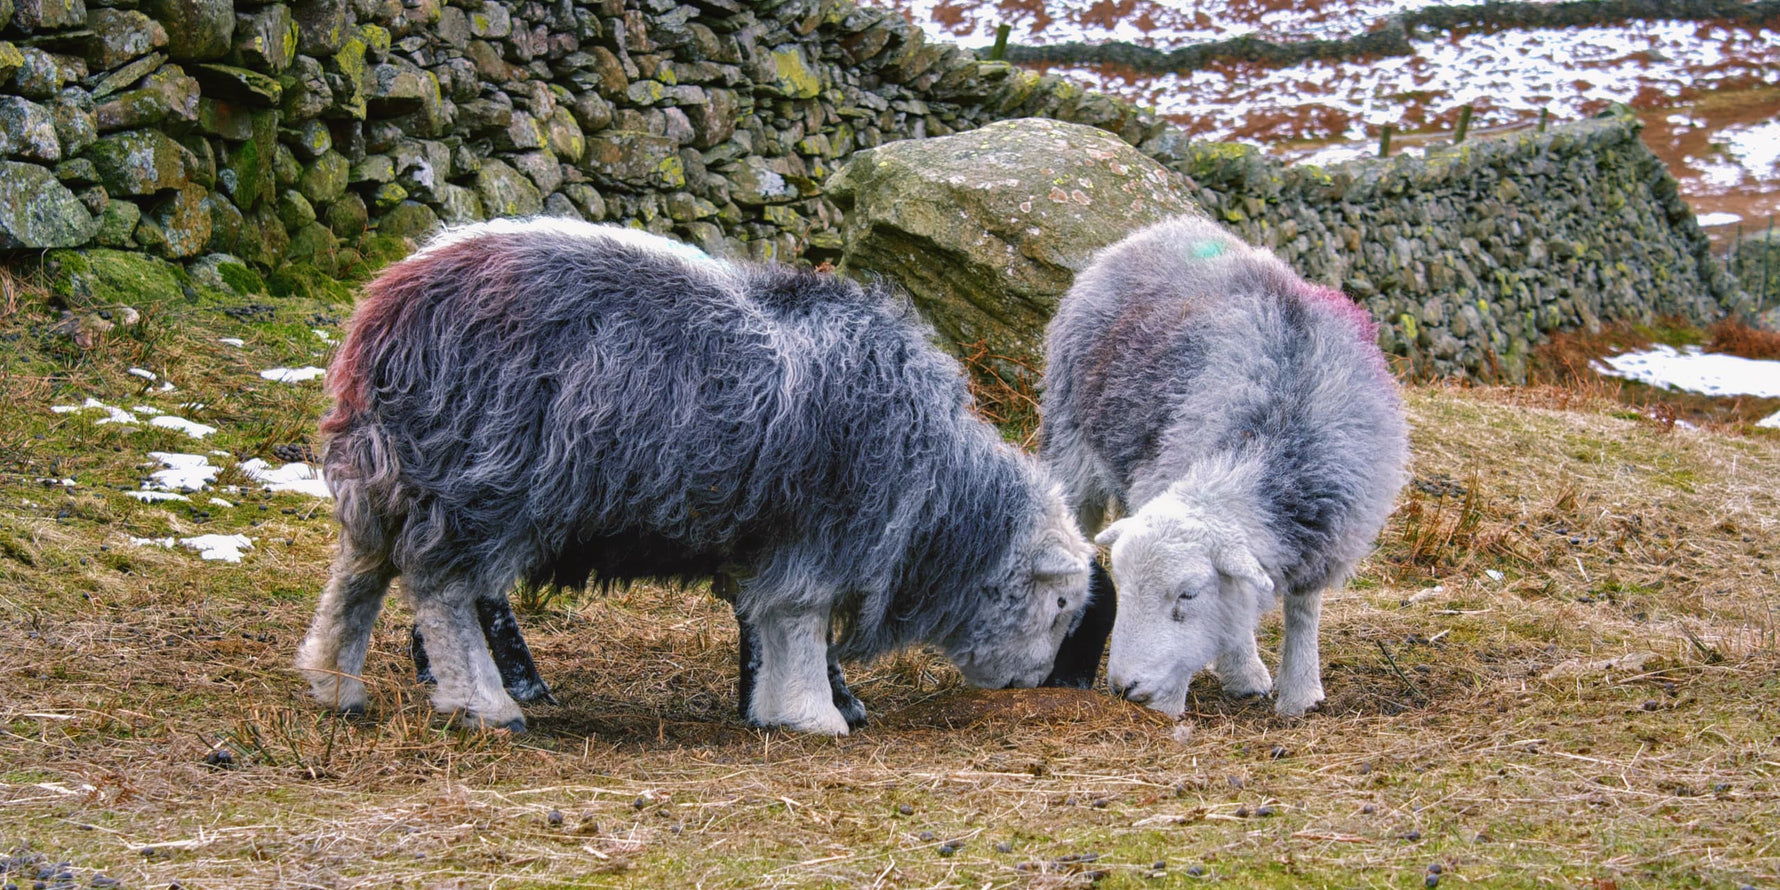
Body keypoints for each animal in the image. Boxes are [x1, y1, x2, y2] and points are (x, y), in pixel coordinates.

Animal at [296, 217, 1095, 735]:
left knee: (356, 577)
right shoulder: (819, 539)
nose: (1033, 685)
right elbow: (800, 625)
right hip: (478, 484)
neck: (938, 497)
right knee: (444, 594)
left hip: (390, 478)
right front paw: (816, 715)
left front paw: (773, 710)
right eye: (1058, 605)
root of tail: (389, 309)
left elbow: (766, 624)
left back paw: (334, 684)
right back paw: (485, 707)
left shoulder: (769, 544)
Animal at [1041, 214, 1408, 717]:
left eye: (1188, 594)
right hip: (1070, 437)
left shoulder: (1332, 533)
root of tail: (1158, 230)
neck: (1273, 432)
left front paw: (1300, 692)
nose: (1125, 686)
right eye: (1126, 584)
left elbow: (1303, 610)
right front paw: (1228, 680)